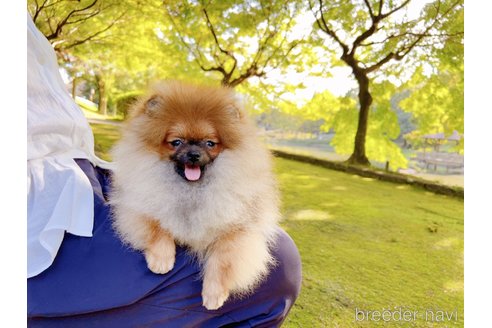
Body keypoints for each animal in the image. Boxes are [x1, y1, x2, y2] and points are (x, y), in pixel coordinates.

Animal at [111, 80, 280, 310]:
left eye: (210, 143)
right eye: (176, 142)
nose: (193, 154)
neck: (191, 191)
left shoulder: (240, 230)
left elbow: (224, 258)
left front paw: (213, 293)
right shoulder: (137, 207)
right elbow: (157, 227)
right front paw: (162, 259)